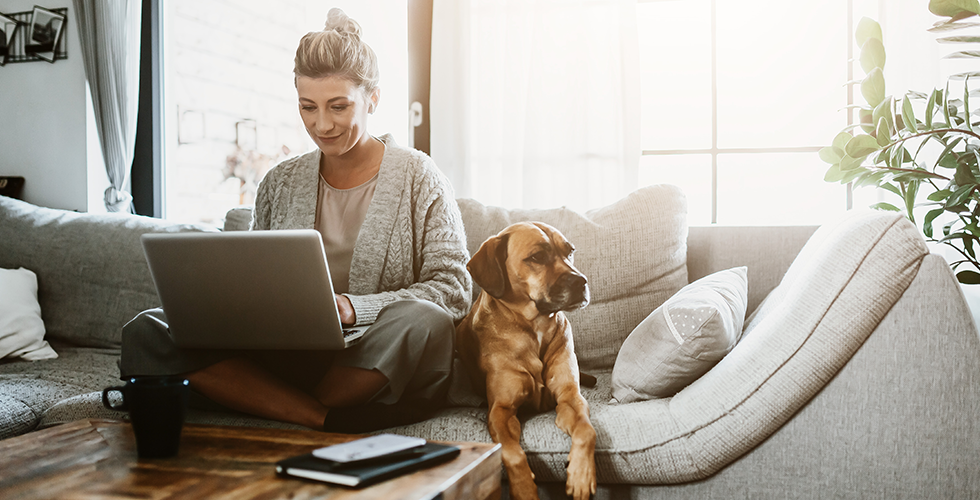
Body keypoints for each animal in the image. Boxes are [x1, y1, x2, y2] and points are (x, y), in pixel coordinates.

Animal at [456, 222, 592, 500]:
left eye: (569, 252)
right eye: (537, 257)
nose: (582, 281)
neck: (535, 327)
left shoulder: (570, 397)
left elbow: (587, 430)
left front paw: (581, 475)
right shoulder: (501, 411)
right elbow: (512, 453)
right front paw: (524, 489)